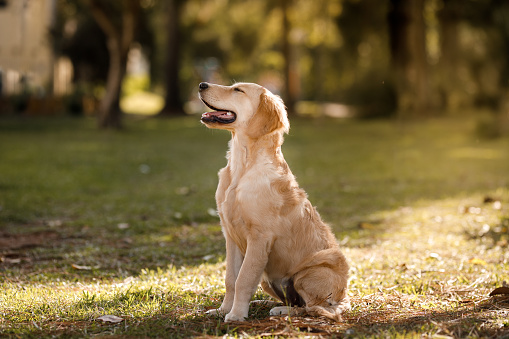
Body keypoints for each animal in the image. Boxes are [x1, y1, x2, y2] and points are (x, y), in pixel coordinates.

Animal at [198, 81, 350, 322]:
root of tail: (343, 298)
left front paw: (236, 315)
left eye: (238, 90)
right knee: (294, 301)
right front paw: (223, 310)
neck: (242, 167)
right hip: (267, 279)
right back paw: (264, 303)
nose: (202, 84)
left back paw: (280, 311)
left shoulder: (259, 237)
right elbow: (231, 279)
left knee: (310, 307)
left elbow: (243, 279)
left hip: (309, 273)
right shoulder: (230, 236)